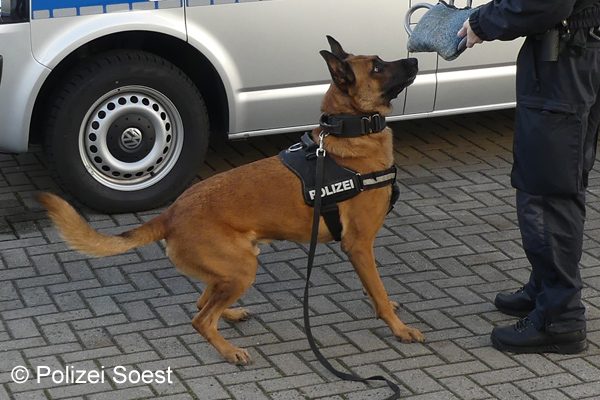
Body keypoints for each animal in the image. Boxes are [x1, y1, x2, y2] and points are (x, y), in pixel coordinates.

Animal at [37, 37, 424, 366]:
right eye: (377, 67)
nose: (415, 59)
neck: (349, 133)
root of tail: (171, 213)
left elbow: (377, 289)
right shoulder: (358, 244)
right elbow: (378, 290)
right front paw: (398, 327)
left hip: (235, 266)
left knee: (203, 300)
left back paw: (231, 313)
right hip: (243, 268)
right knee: (200, 318)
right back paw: (229, 350)